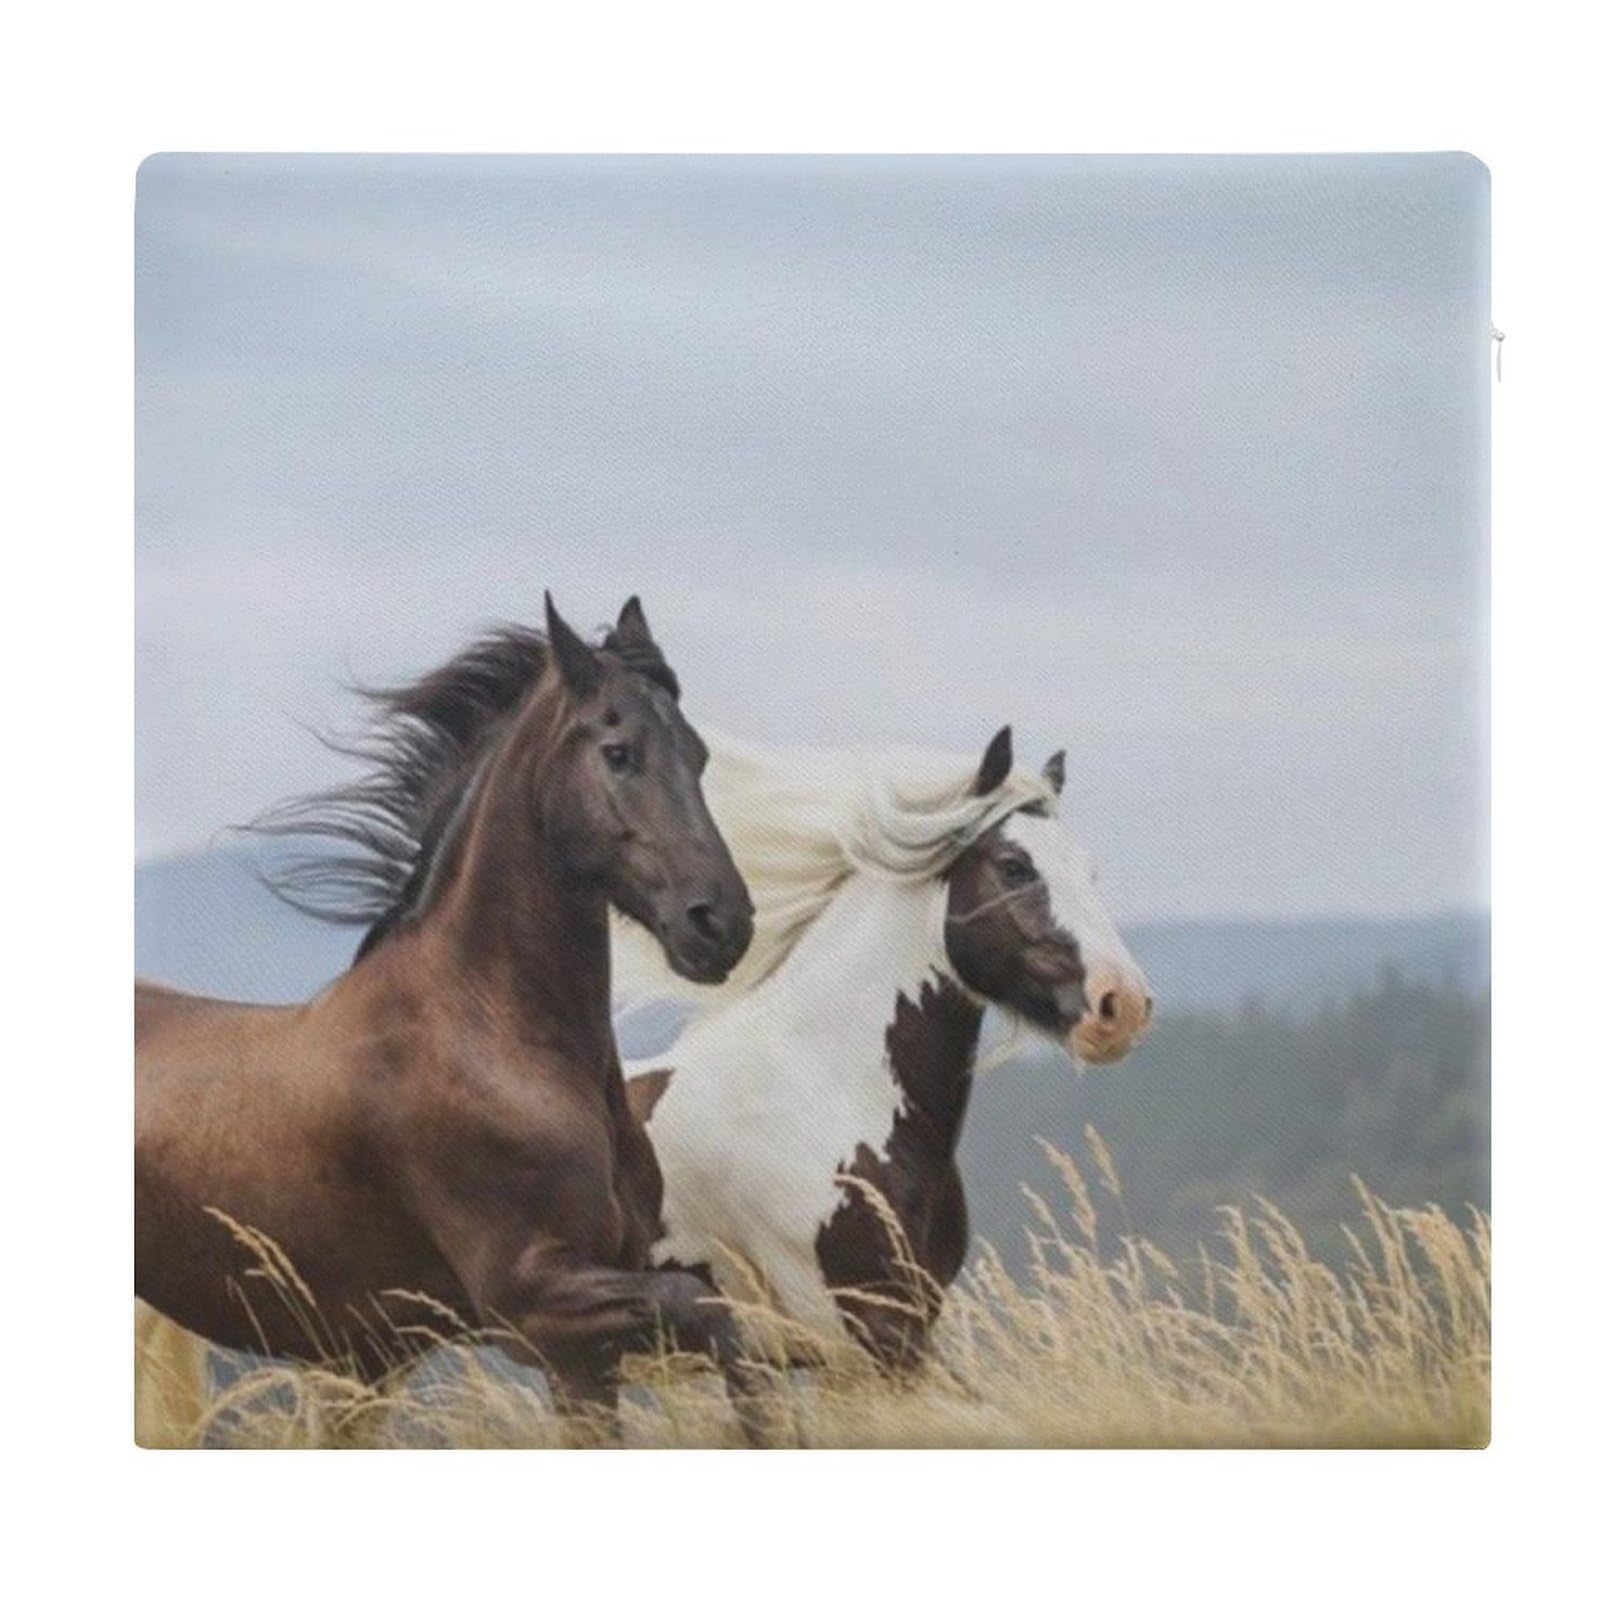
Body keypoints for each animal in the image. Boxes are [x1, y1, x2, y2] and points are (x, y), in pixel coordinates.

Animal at [135, 595, 758, 1430]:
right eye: (620, 752)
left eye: (698, 755)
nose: (720, 924)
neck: (487, 1030)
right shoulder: (539, 1312)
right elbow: (706, 1307)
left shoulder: (595, 1337)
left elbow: (733, 1334)